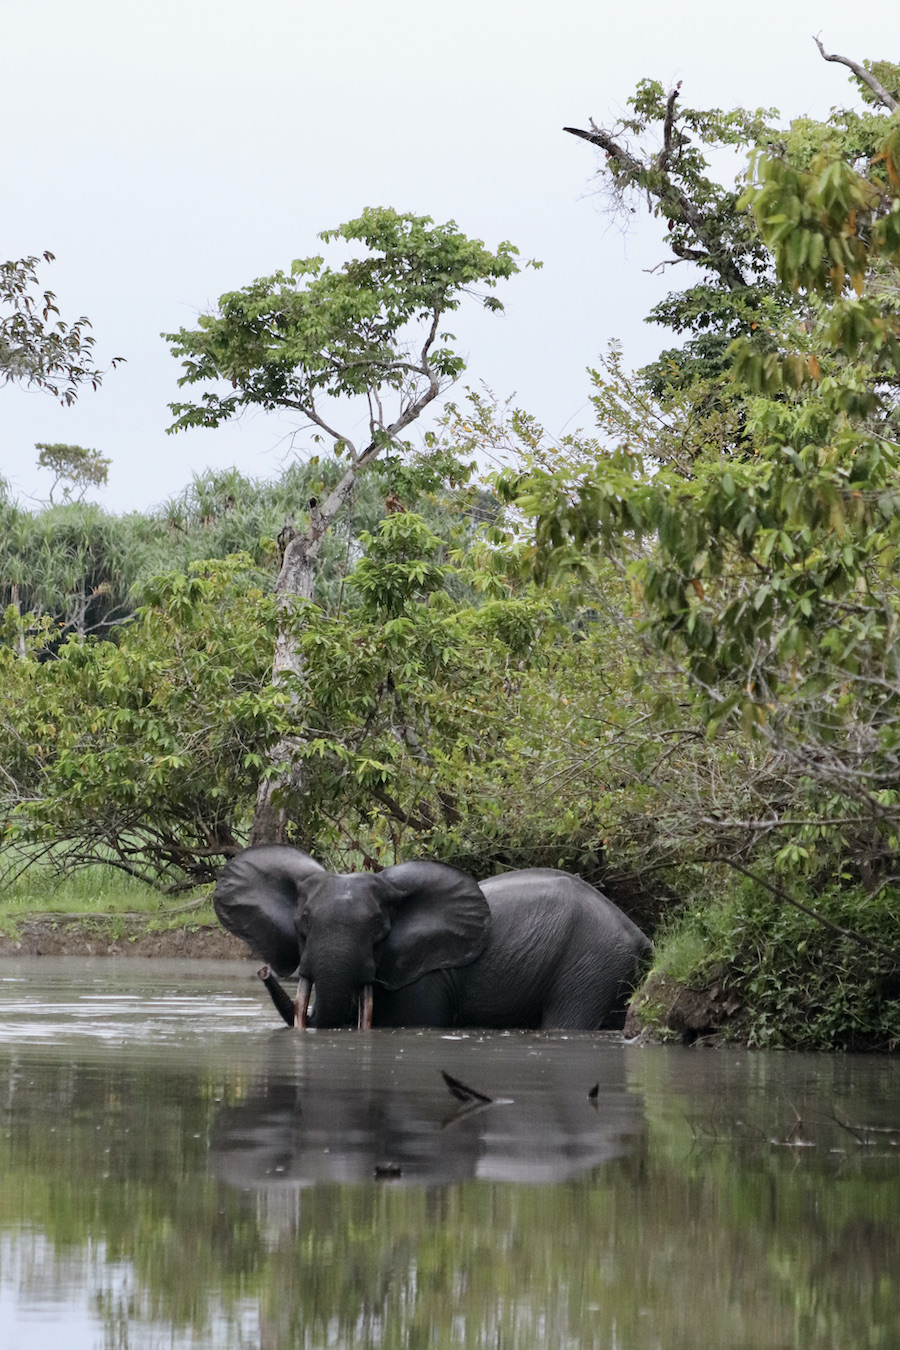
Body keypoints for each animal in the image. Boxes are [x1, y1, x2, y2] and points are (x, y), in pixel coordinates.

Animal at [213, 845, 651, 1031]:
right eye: (302, 922)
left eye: (379, 929)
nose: (263, 971)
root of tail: (640, 936)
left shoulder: (423, 980)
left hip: (591, 963)